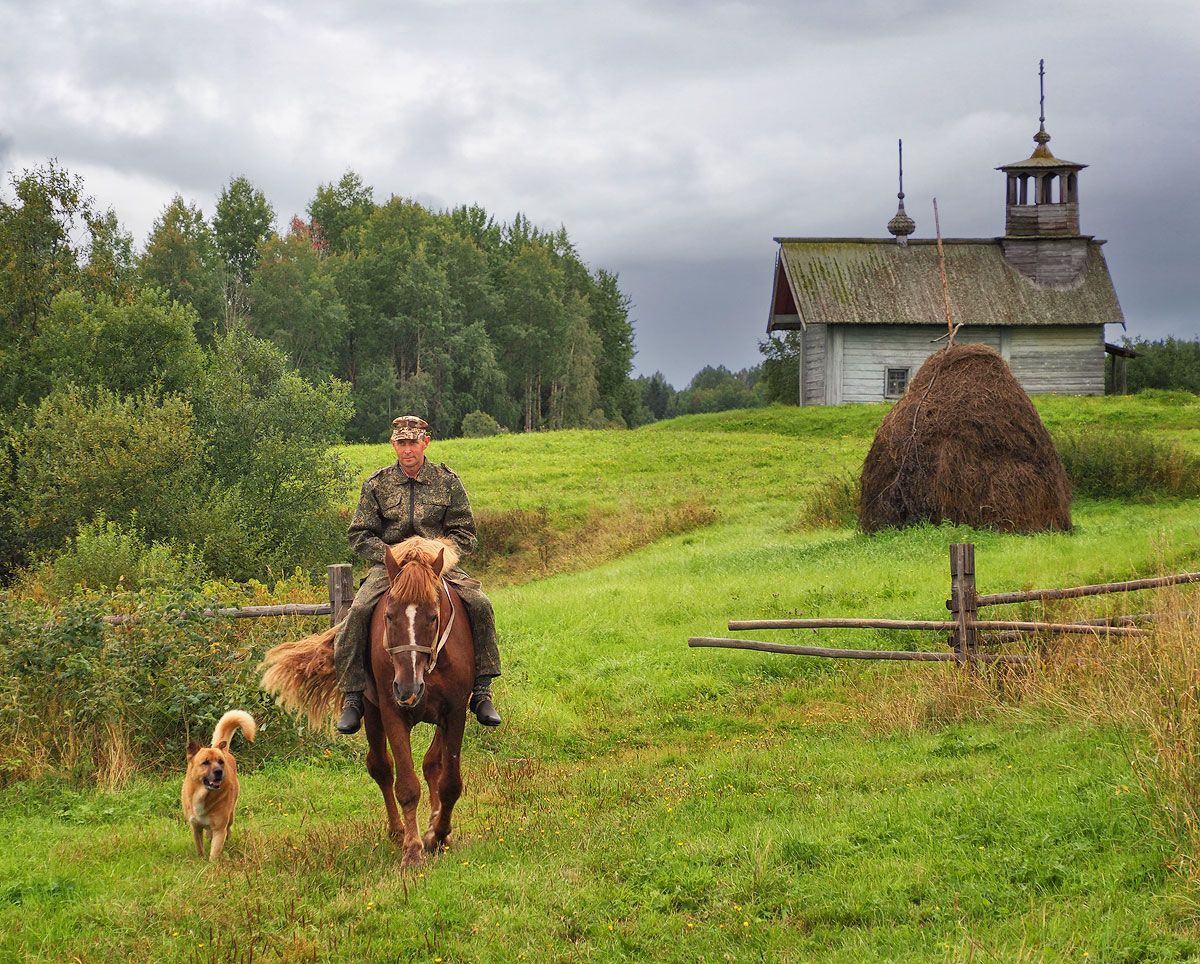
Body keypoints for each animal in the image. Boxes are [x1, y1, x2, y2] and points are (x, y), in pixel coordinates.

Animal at [181, 710, 256, 864]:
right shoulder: (195, 827)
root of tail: (223, 748)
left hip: (231, 815)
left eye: (220, 762)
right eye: (205, 762)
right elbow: (199, 847)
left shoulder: (219, 829)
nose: (219, 772)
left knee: (228, 830)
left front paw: (211, 865)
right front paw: (201, 860)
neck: (204, 795)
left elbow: (214, 852)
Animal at [261, 535, 472, 869]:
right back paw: (398, 833)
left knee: (431, 765)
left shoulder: (454, 712)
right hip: (372, 713)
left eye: (433, 616)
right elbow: (406, 786)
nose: (407, 688)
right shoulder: (392, 712)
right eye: (389, 616)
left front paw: (438, 834)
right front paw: (413, 850)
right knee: (381, 767)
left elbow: (449, 782)